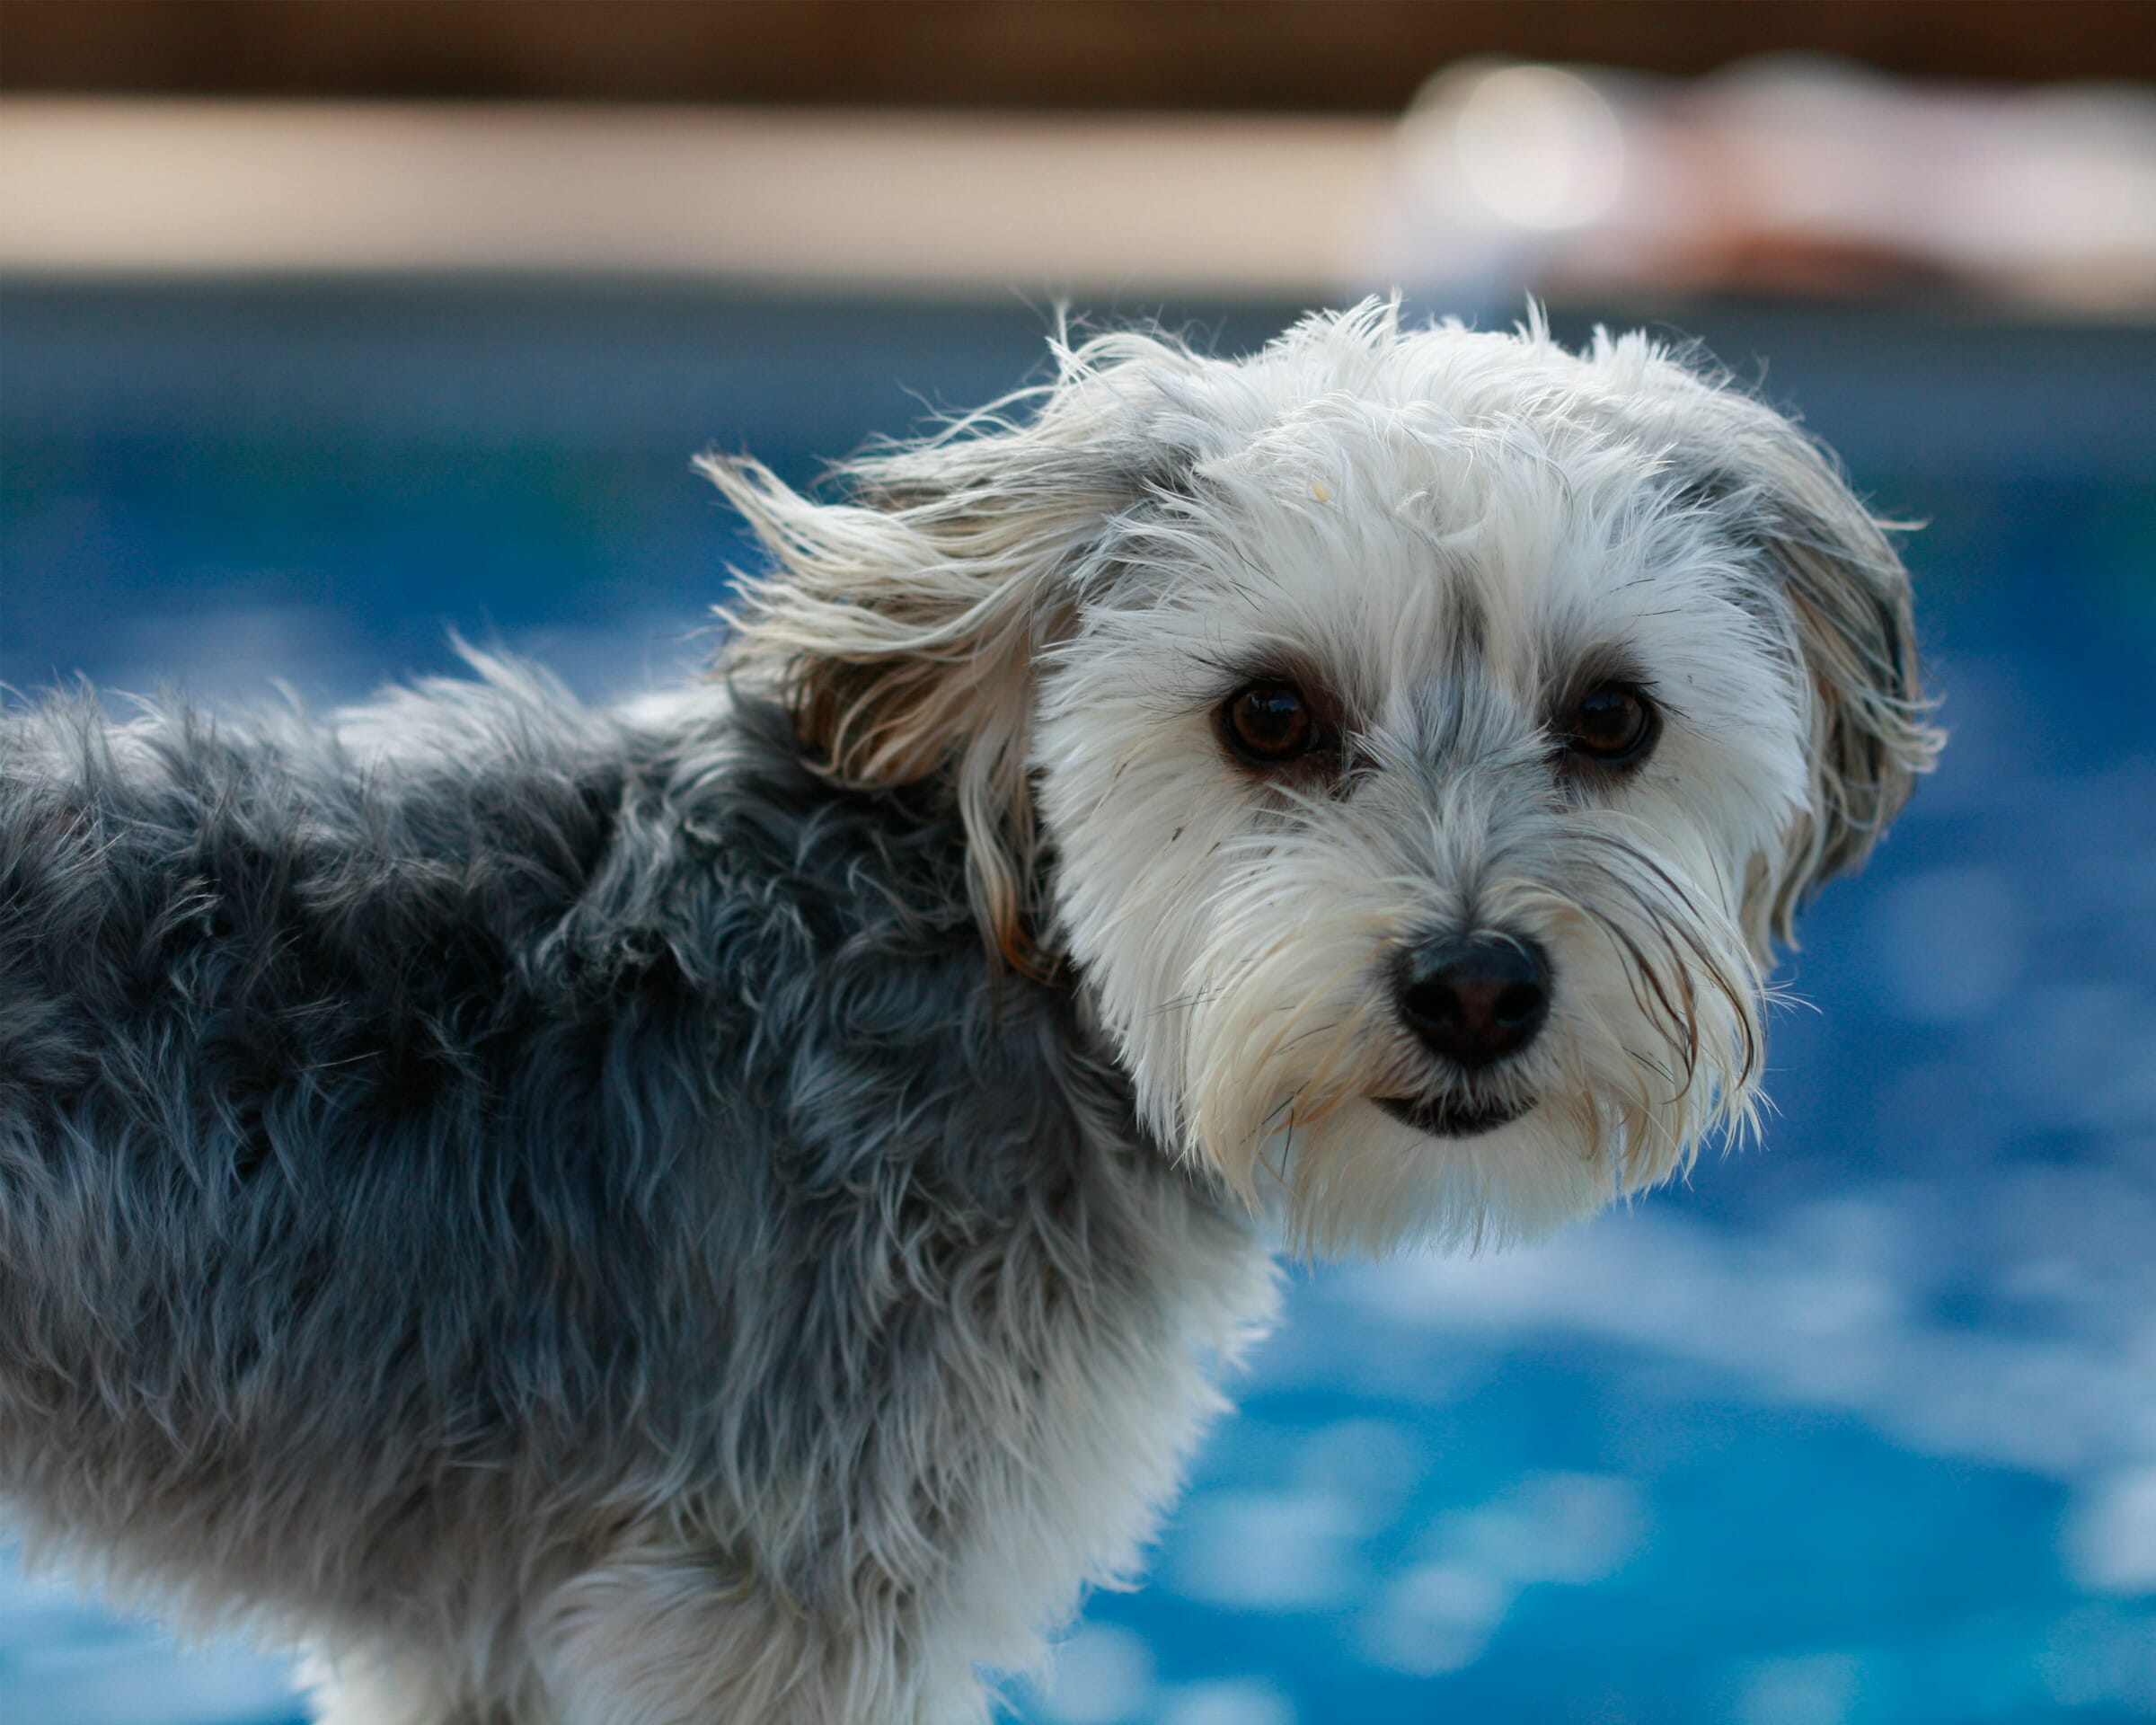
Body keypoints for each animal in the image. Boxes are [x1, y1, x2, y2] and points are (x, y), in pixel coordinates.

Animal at [0, 304, 1940, 1716]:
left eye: (1614, 719)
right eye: (1270, 717)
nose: (1475, 985)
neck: (1011, 981)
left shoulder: (491, 1643)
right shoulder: (773, 1611)